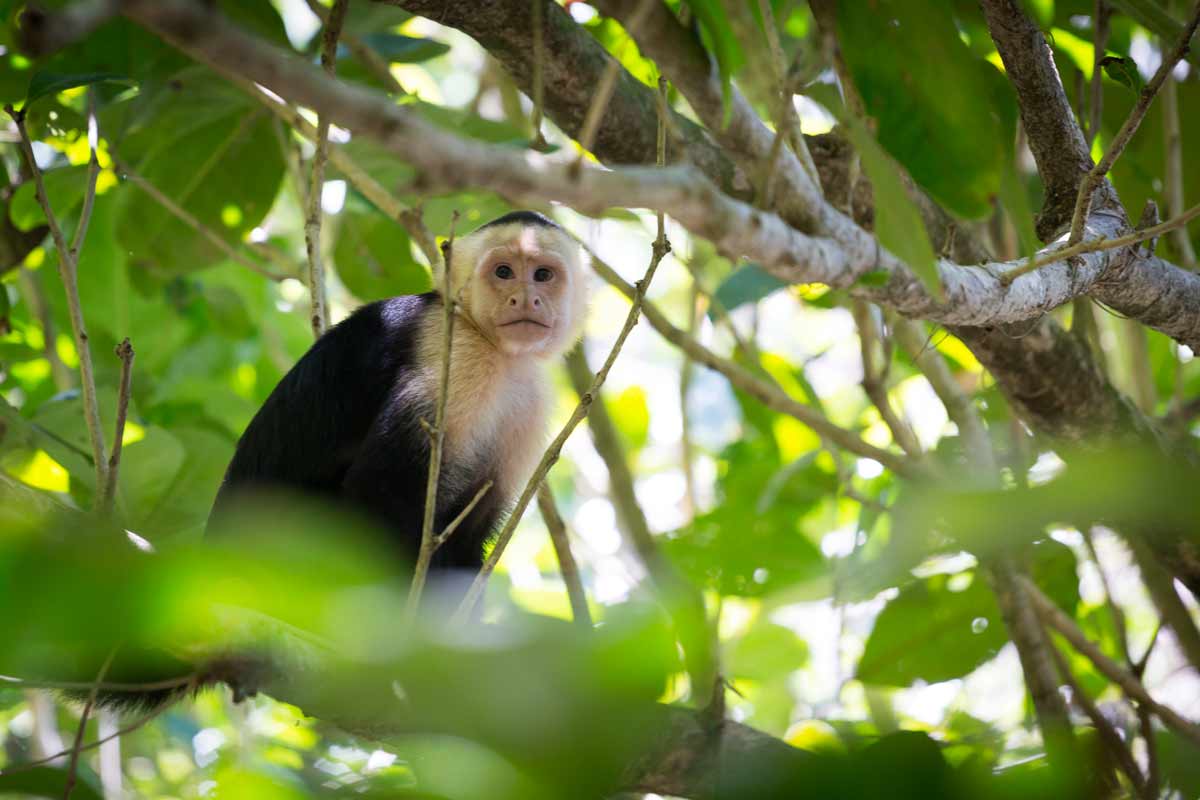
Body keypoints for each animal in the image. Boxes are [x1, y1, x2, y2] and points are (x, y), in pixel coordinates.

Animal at [207, 211, 590, 568]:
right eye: (504, 272)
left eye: (543, 275)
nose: (524, 300)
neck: (492, 346)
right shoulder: (458, 357)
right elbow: (378, 493)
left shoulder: (531, 400)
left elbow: (469, 536)